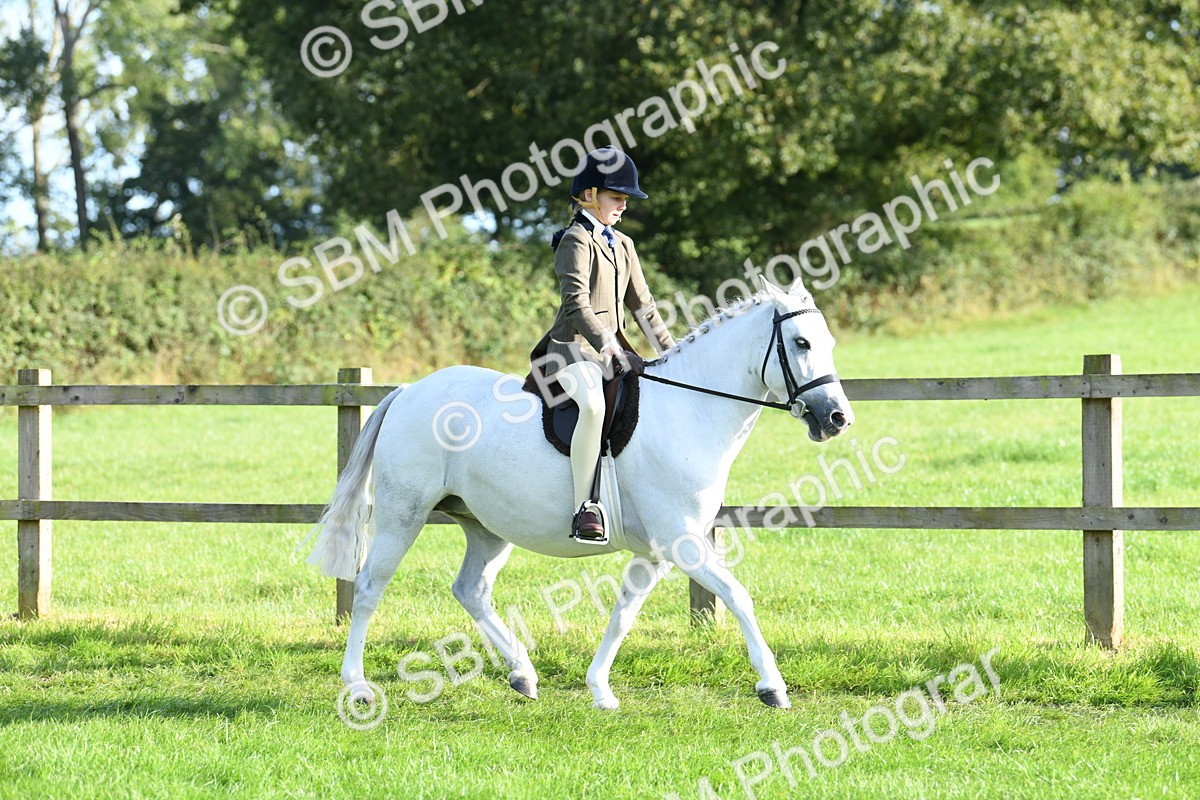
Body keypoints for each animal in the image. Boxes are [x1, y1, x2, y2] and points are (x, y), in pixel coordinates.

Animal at [305, 276, 854, 710]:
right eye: (801, 343)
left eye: (827, 341)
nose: (836, 418)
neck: (691, 410)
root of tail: (408, 391)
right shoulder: (683, 541)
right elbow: (739, 596)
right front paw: (772, 687)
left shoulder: (657, 551)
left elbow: (623, 613)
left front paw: (600, 690)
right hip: (404, 514)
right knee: (369, 587)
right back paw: (357, 686)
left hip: (486, 525)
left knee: (471, 590)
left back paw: (523, 675)